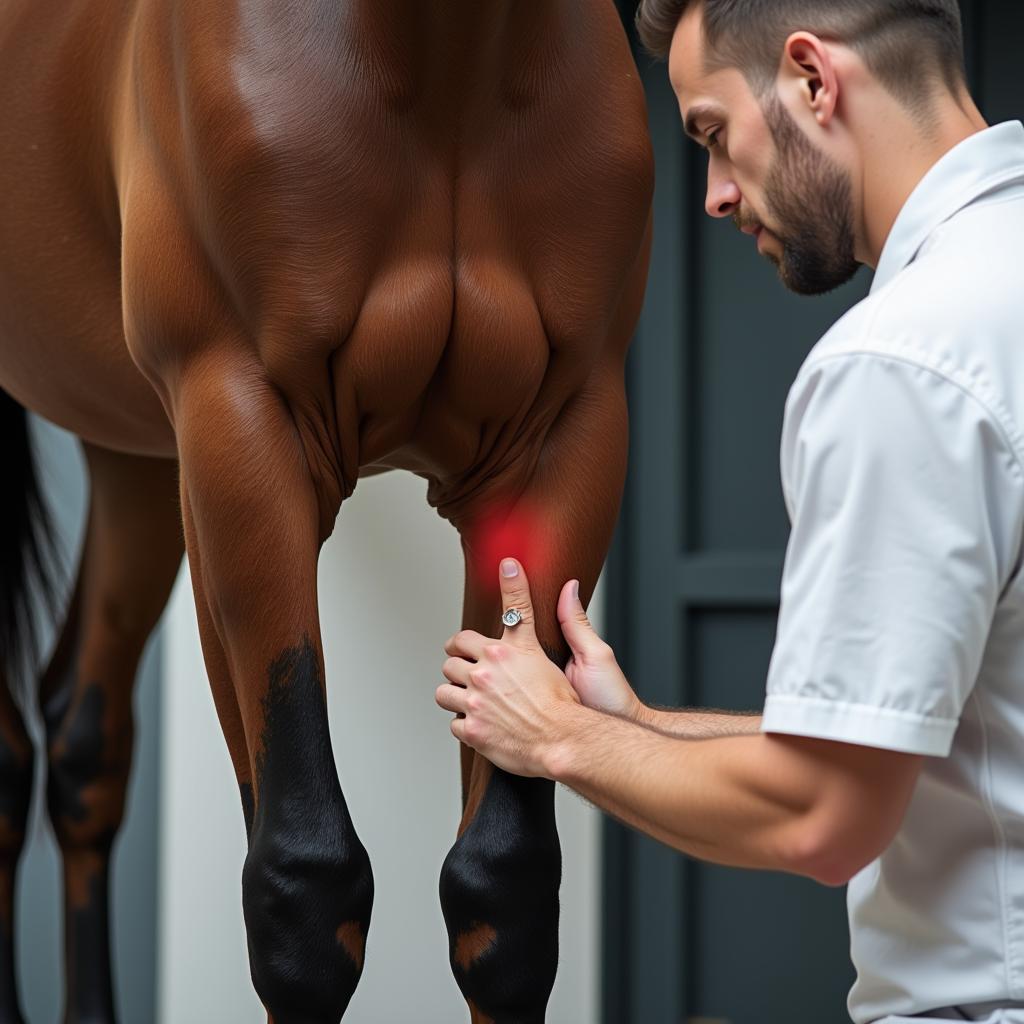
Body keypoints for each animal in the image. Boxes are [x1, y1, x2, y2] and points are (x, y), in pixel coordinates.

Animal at [0, 2, 651, 1015]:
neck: (445, 56)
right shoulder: (240, 426)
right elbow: (304, 883)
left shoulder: (568, 438)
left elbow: (504, 885)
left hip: (132, 447)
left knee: (80, 732)